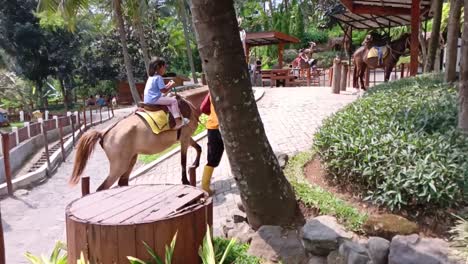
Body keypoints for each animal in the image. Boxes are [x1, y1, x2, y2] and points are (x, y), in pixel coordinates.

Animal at [70, 87, 208, 191]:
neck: (189, 105)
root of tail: (104, 132)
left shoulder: (186, 137)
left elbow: (199, 147)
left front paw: (195, 164)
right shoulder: (184, 138)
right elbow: (183, 161)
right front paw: (186, 180)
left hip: (131, 159)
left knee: (123, 182)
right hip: (119, 166)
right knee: (103, 187)